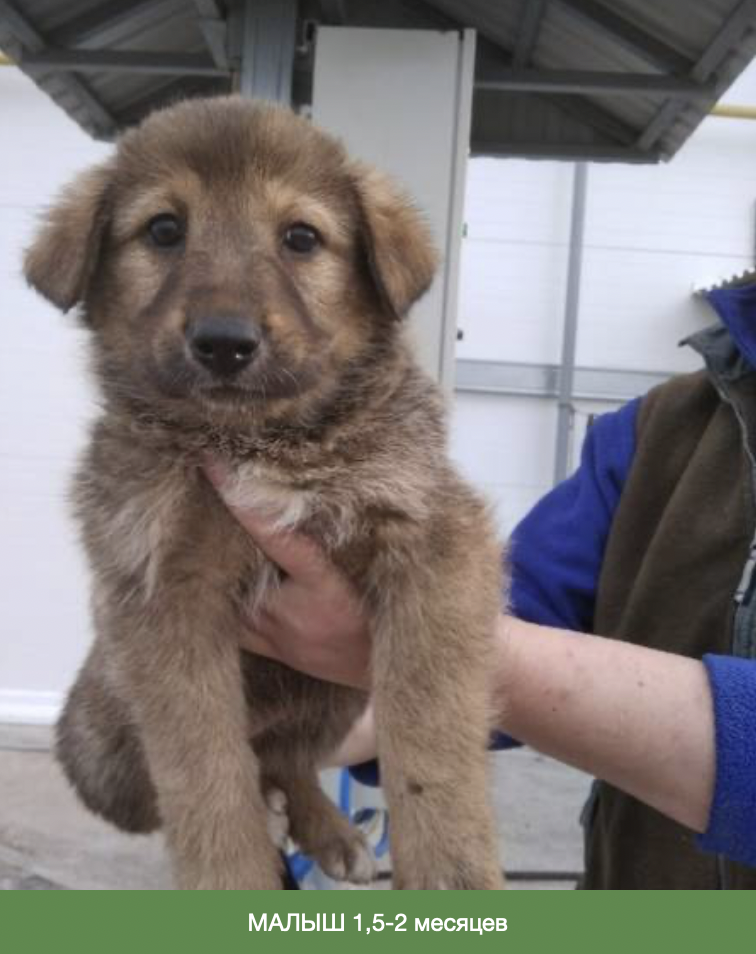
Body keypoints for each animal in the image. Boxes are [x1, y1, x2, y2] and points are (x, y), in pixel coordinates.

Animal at [24, 96, 505, 890]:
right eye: (164, 229)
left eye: (301, 237)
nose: (225, 341)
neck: (256, 443)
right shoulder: (161, 589)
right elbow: (207, 777)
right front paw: (232, 881)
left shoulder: (431, 534)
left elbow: (430, 729)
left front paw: (452, 871)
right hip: (102, 745)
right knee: (251, 768)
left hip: (340, 685)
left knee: (287, 758)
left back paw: (329, 830)